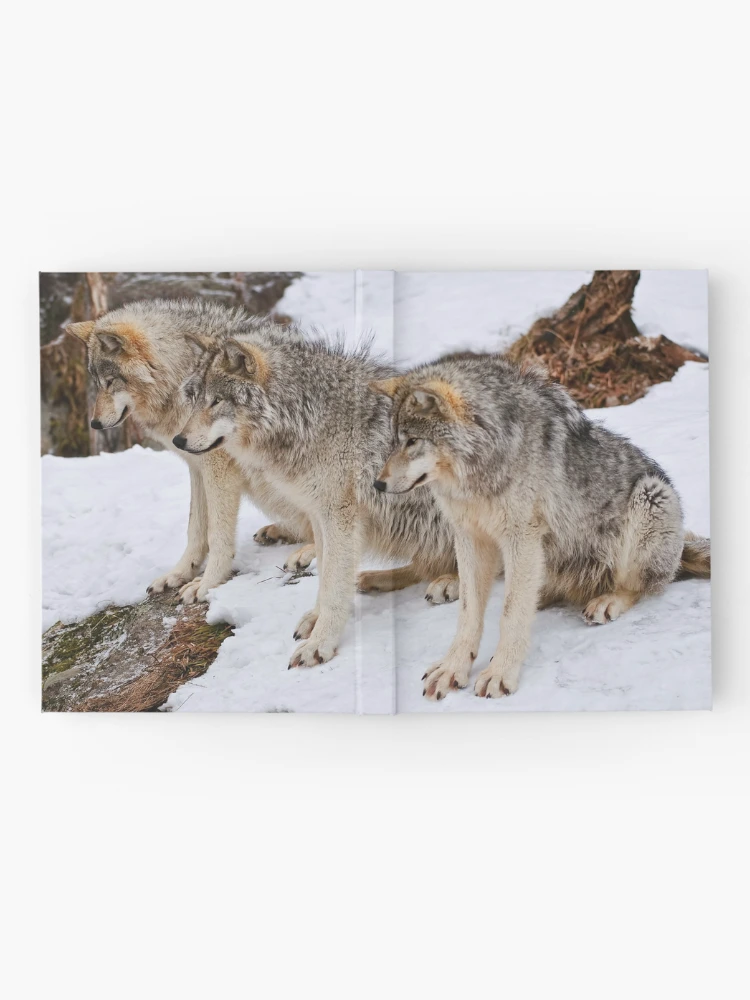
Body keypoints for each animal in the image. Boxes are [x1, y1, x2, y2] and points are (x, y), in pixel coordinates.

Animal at [66, 300, 318, 602]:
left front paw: (206, 584)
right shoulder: (197, 468)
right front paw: (178, 574)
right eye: (96, 382)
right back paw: (276, 531)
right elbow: (196, 529)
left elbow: (217, 535)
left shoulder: (218, 468)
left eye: (111, 381)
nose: (94, 423)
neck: (178, 374)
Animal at [173, 330, 459, 667]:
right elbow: (326, 578)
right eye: (193, 398)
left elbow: (333, 585)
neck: (304, 416)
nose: (178, 440)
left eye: (217, 401)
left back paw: (450, 582)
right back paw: (376, 578)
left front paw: (320, 644)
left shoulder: (339, 517)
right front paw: (314, 619)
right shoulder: (320, 514)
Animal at [372, 353, 710, 700]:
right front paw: (452, 669)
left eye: (412, 441)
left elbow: (510, 615)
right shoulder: (469, 536)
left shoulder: (520, 537)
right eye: (394, 441)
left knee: (639, 587)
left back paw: (607, 601)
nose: (378, 484)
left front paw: (500, 673)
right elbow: (468, 613)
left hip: (651, 495)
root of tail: (680, 550)